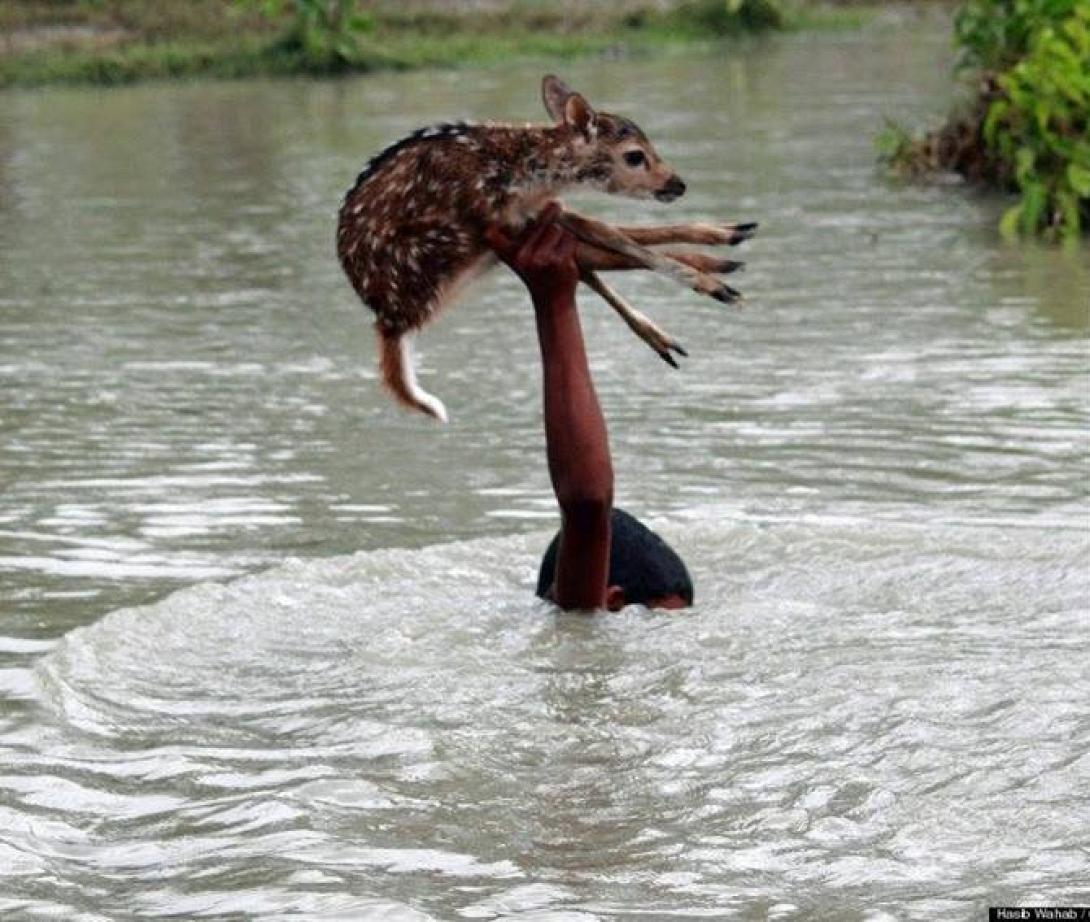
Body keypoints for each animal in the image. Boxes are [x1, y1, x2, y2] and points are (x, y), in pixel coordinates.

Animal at [335, 75, 754, 422]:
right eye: (635, 155)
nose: (677, 184)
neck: (528, 173)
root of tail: (388, 321)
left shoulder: (536, 212)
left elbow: (610, 233)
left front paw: (720, 246)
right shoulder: (500, 218)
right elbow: (614, 238)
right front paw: (713, 281)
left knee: (592, 254)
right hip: (448, 248)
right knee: (593, 255)